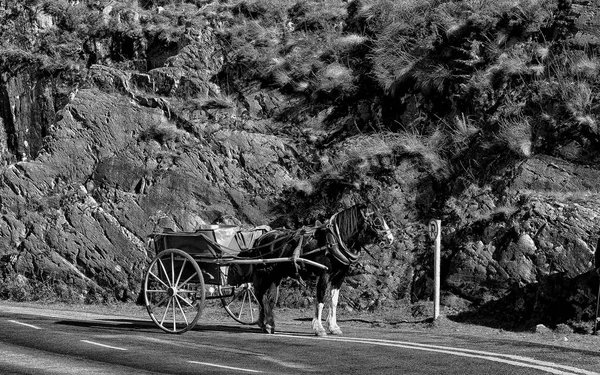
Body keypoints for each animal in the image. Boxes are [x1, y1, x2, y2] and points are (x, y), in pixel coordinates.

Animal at [248, 204, 394, 336]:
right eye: (376, 219)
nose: (390, 239)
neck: (332, 242)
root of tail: (260, 238)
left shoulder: (339, 277)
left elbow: (333, 302)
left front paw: (334, 327)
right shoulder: (324, 275)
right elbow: (320, 300)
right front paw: (319, 328)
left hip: (275, 275)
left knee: (269, 298)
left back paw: (268, 324)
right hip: (262, 274)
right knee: (260, 296)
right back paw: (266, 324)